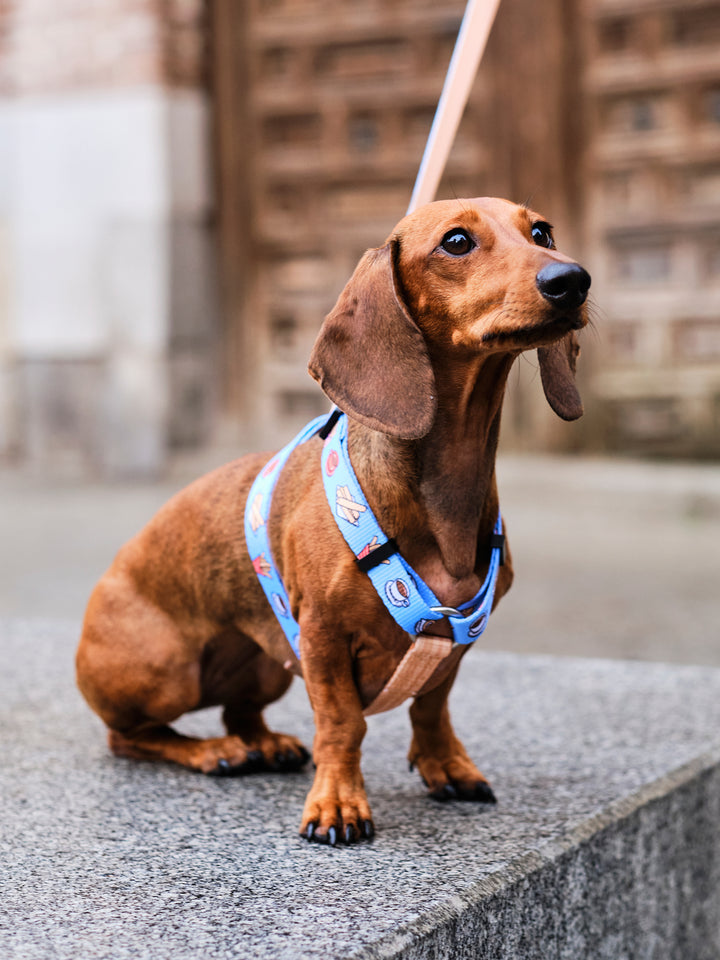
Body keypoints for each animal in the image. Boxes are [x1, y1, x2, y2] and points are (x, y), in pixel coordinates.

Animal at [74, 199, 592, 844]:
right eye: (456, 241)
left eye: (541, 231)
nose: (572, 279)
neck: (446, 494)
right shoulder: (321, 635)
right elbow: (343, 722)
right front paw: (339, 804)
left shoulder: (456, 640)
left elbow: (432, 706)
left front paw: (445, 764)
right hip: (169, 672)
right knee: (130, 737)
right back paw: (211, 751)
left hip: (265, 666)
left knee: (240, 710)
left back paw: (264, 743)